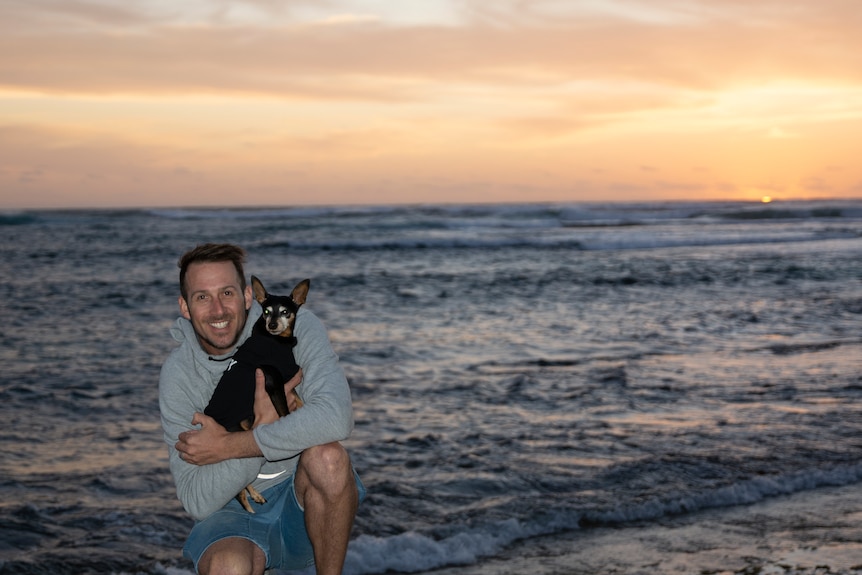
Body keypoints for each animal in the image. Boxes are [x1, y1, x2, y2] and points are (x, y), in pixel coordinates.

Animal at [202, 276, 310, 510]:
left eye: (285, 312)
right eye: (266, 311)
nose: (272, 324)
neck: (276, 341)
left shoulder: (285, 381)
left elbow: (298, 399)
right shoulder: (273, 381)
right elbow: (285, 411)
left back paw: (256, 496)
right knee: (238, 490)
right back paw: (250, 504)